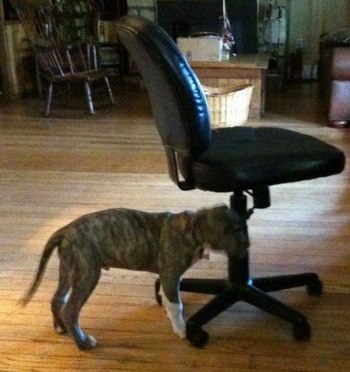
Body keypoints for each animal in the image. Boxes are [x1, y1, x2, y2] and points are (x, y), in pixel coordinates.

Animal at [19, 205, 249, 350]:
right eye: (236, 229)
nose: (247, 246)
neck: (192, 229)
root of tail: (65, 231)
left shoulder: (168, 277)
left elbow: (168, 298)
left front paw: (167, 310)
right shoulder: (171, 275)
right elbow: (177, 305)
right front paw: (182, 330)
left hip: (68, 270)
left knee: (57, 299)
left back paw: (60, 328)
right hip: (87, 274)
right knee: (70, 311)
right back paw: (84, 343)